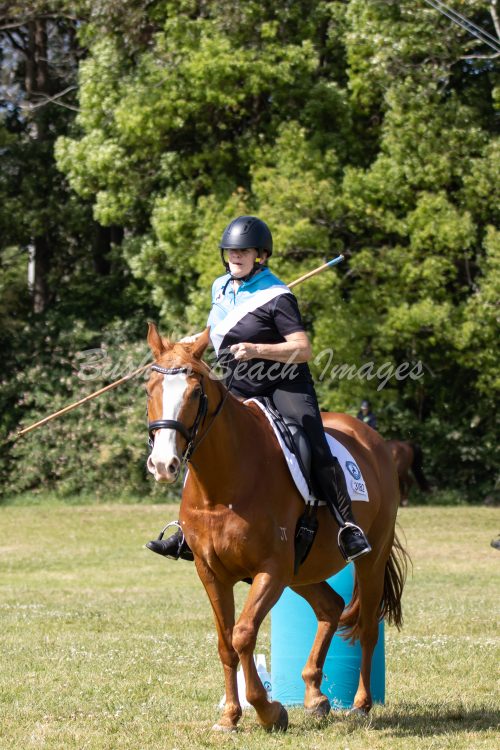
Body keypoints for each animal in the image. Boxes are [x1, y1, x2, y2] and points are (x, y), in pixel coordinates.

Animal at [146, 324, 408, 732]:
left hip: (369, 558)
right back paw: (315, 697)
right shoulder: (211, 572)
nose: (163, 464)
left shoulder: (271, 569)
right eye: (149, 390)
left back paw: (361, 705)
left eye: (193, 393)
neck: (223, 485)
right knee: (330, 607)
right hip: (302, 570)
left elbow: (243, 634)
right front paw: (230, 715)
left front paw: (268, 711)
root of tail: (373, 439)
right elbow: (225, 642)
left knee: (366, 625)